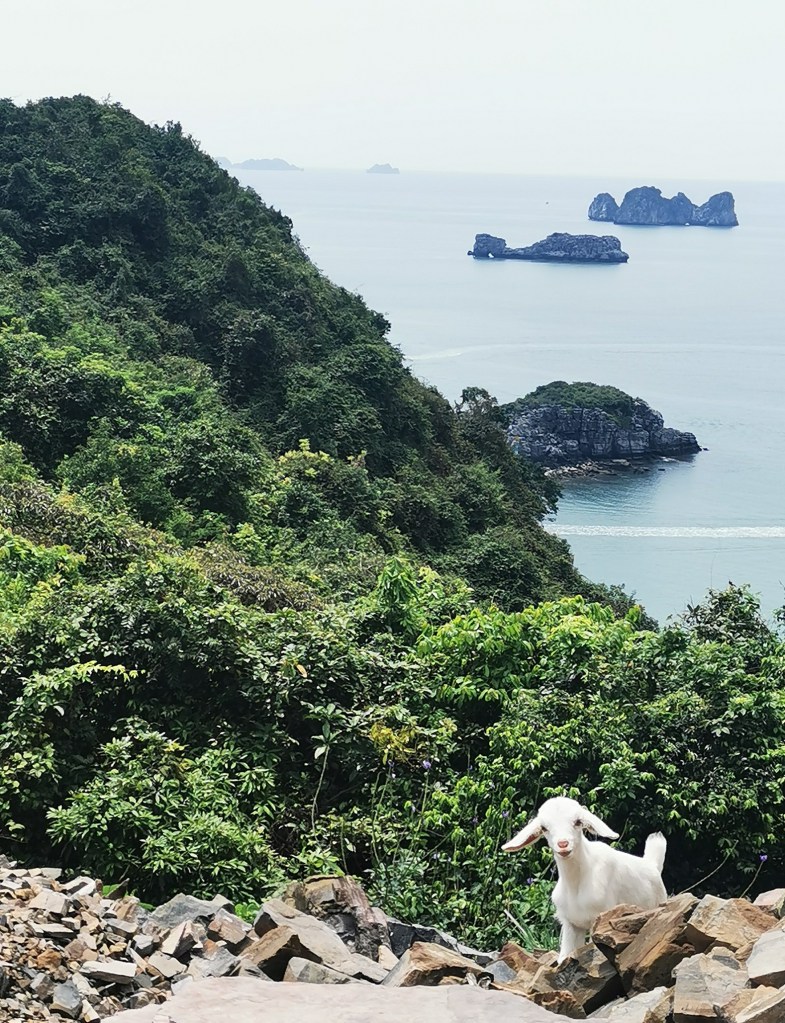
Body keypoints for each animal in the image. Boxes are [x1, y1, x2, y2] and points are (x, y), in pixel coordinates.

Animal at [502, 796, 666, 962]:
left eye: (578, 822)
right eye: (544, 828)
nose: (563, 844)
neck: (575, 883)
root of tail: (652, 864)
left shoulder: (601, 917)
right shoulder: (571, 924)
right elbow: (564, 957)